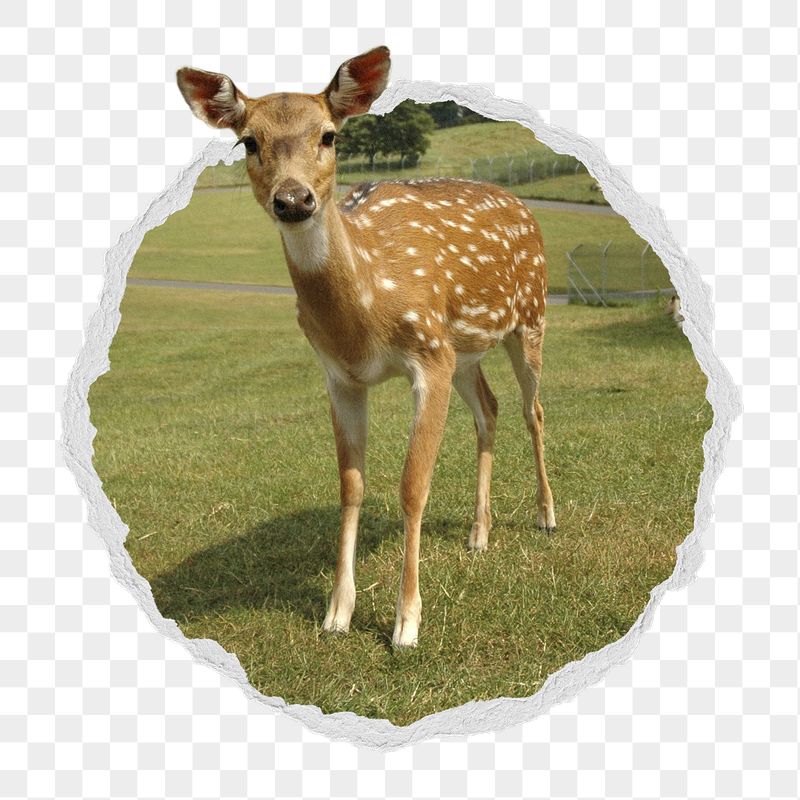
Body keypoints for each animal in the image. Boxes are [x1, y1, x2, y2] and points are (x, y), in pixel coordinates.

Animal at [176, 46, 556, 648]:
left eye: (329, 135)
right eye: (249, 141)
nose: (294, 199)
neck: (367, 314)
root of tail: (522, 204)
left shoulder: (429, 354)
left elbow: (412, 486)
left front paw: (407, 622)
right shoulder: (341, 375)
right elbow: (351, 486)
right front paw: (337, 611)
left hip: (530, 317)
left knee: (533, 409)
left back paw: (546, 516)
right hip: (466, 350)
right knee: (490, 410)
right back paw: (479, 532)